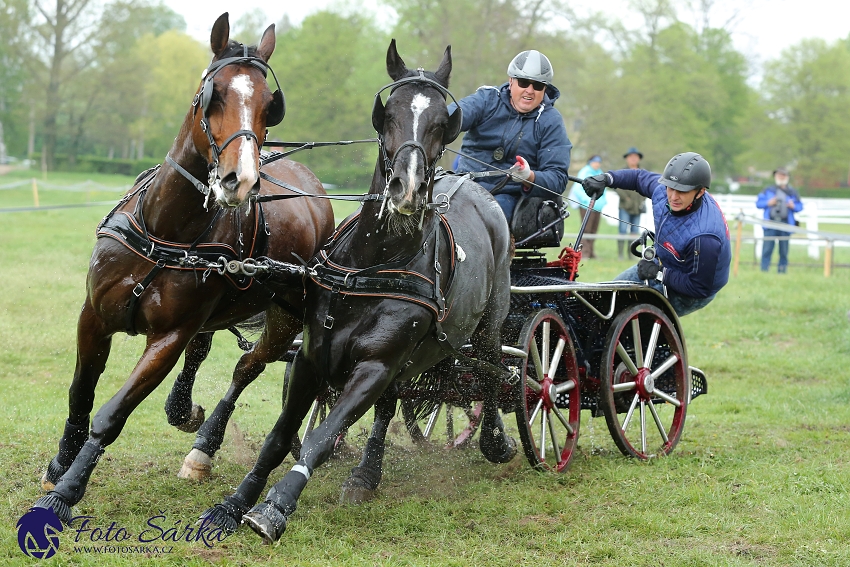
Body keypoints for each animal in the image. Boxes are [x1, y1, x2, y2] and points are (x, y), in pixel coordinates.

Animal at [32, 12, 332, 524]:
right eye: (213, 94)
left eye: (269, 105)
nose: (240, 180)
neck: (163, 229)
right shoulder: (93, 316)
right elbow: (80, 393)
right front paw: (59, 465)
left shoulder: (167, 338)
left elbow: (111, 413)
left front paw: (67, 492)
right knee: (208, 351)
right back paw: (185, 411)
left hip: (286, 315)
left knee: (248, 368)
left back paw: (204, 446)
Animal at [201, 41, 512, 544]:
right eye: (389, 115)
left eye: (441, 122)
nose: (407, 189)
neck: (375, 262)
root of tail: (476, 188)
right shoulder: (312, 356)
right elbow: (280, 436)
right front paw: (234, 502)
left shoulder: (374, 366)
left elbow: (323, 437)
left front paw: (276, 506)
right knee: (391, 407)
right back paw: (368, 474)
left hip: (484, 325)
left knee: (493, 372)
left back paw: (496, 441)